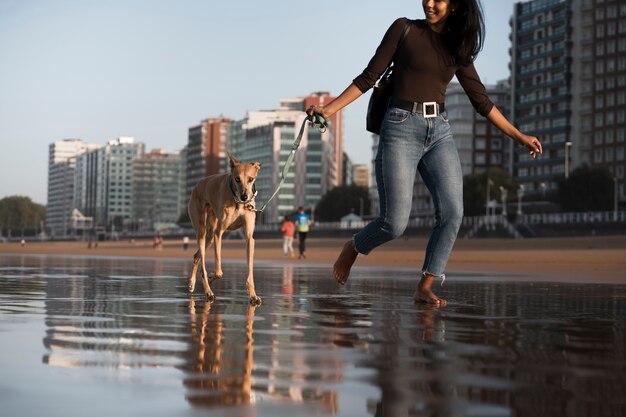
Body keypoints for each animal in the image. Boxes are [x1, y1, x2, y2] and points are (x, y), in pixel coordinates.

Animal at [188, 151, 260, 304]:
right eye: (237, 179)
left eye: (250, 179)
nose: (245, 197)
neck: (238, 202)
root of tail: (198, 184)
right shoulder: (218, 233)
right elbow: (219, 271)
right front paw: (211, 277)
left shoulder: (249, 238)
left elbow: (250, 271)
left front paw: (253, 295)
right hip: (202, 232)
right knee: (202, 263)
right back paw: (208, 291)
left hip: (209, 237)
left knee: (196, 256)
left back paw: (192, 283)